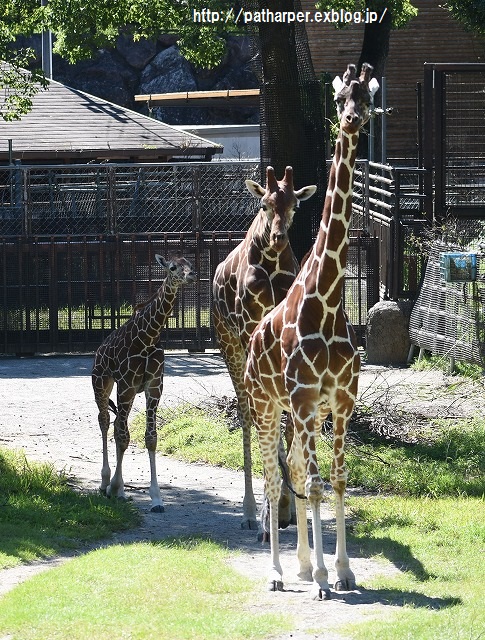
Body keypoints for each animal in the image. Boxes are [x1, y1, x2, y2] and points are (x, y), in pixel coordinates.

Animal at [91, 252, 196, 512]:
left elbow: (150, 438)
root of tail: (98, 351)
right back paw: (106, 483)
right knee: (105, 421)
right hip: (101, 382)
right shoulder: (127, 384)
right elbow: (123, 436)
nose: (191, 275)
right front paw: (116, 489)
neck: (147, 338)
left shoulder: (155, 386)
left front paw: (157, 498)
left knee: (116, 422)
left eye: (190, 264)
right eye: (173, 267)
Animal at [212, 166, 314, 528]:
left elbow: (288, 416)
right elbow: (265, 417)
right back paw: (248, 510)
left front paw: (286, 504)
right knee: (245, 411)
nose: (279, 238)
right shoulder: (248, 331)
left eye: (295, 206)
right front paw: (272, 507)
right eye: (264, 205)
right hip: (228, 344)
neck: (270, 263)